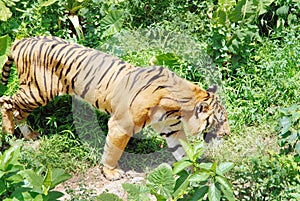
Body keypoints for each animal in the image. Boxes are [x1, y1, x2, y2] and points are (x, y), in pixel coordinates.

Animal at [0, 36, 231, 181]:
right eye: (220, 120)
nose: (228, 134)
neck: (177, 108)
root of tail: (21, 40)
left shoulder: (171, 128)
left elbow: (183, 151)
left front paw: (194, 171)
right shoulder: (121, 125)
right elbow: (113, 150)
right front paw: (111, 173)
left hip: (35, 93)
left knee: (18, 110)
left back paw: (29, 135)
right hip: (37, 91)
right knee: (6, 100)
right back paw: (9, 132)